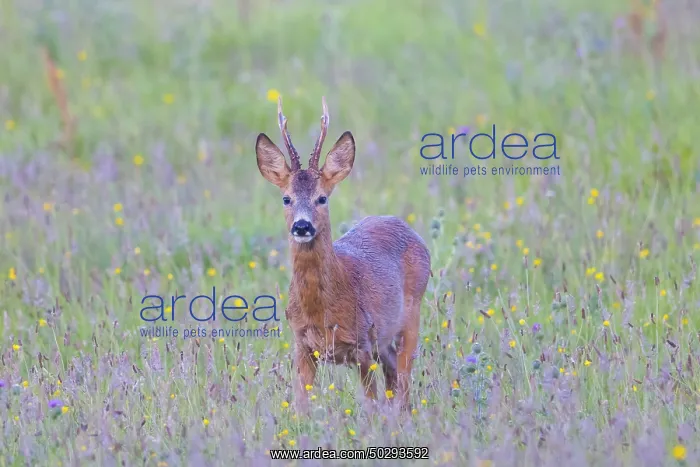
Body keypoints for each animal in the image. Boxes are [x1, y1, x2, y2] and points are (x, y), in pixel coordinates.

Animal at [255, 96, 432, 412]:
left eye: (322, 198)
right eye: (286, 198)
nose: (302, 226)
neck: (322, 310)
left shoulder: (361, 344)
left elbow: (370, 404)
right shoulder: (302, 345)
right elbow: (301, 405)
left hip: (411, 314)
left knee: (404, 379)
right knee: (393, 374)